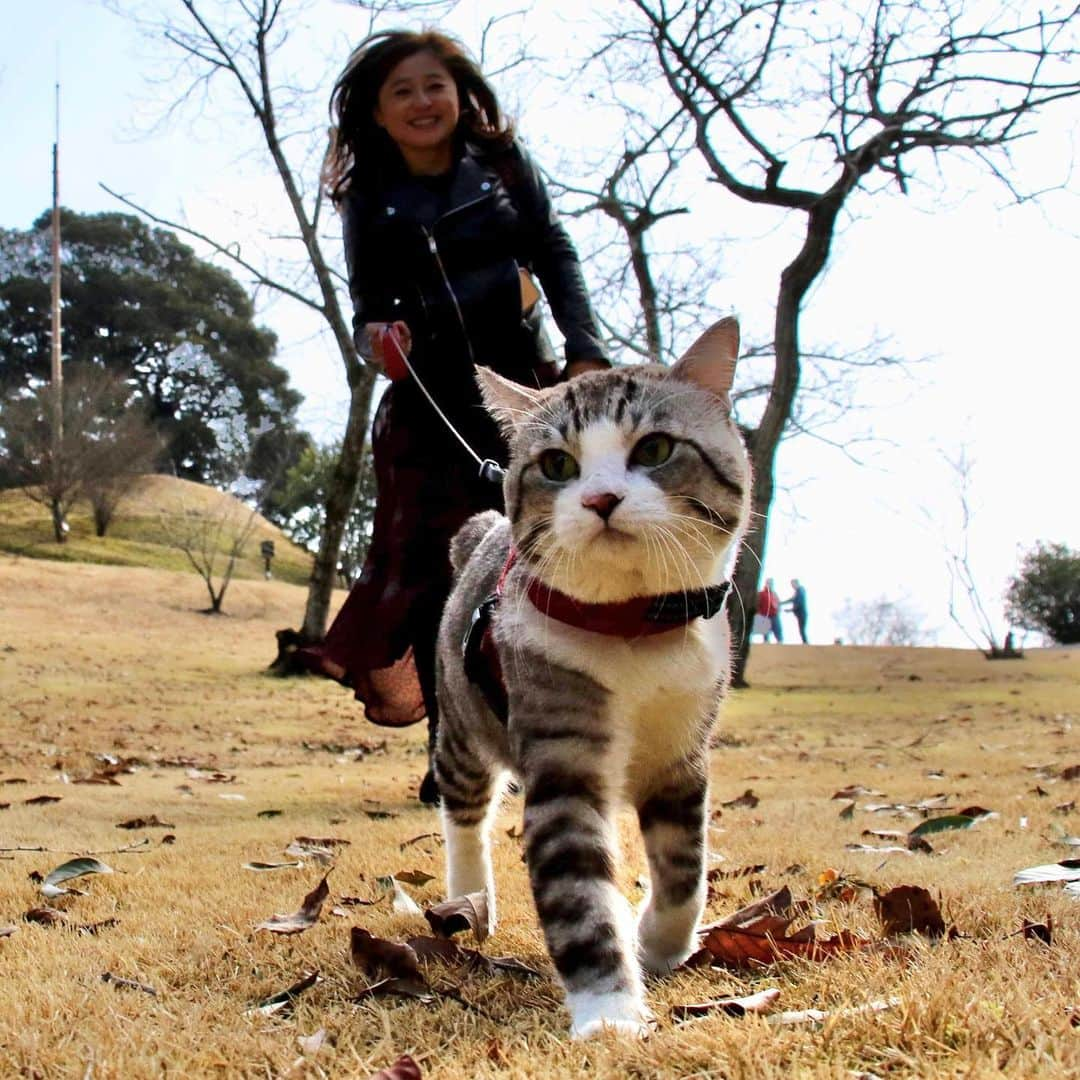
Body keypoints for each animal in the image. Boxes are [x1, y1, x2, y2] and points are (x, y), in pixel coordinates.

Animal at [434, 317, 747, 1036]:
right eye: (557, 464)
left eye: (655, 448)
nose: (602, 498)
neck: (633, 629)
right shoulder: (562, 752)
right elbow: (579, 894)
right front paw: (609, 1015)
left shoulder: (683, 753)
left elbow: (686, 870)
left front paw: (657, 944)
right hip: (462, 723)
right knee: (464, 811)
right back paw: (469, 897)